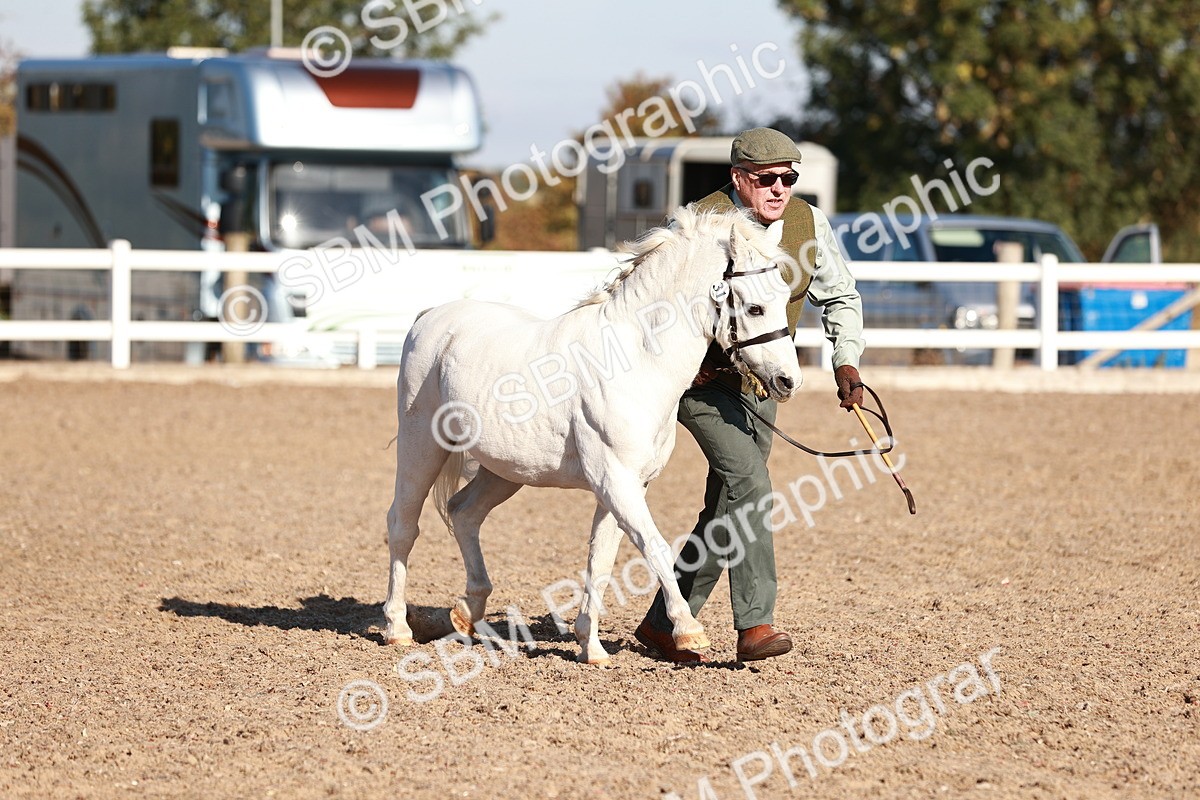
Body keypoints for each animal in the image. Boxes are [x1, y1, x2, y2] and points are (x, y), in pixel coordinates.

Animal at [383, 205, 805, 665]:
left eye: (785, 298)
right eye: (755, 308)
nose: (788, 381)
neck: (633, 360)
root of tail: (430, 317)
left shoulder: (625, 486)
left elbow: (600, 560)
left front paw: (592, 647)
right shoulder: (615, 480)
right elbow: (654, 547)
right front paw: (689, 632)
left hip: (506, 471)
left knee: (463, 513)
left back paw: (467, 614)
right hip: (421, 448)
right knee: (403, 524)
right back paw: (397, 628)